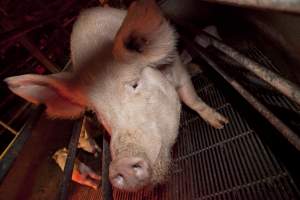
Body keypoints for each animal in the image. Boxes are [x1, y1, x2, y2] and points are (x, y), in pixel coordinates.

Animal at [4, 0, 227, 191]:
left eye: (134, 84)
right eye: (94, 112)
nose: (121, 165)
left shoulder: (177, 69)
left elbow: (192, 100)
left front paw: (221, 124)